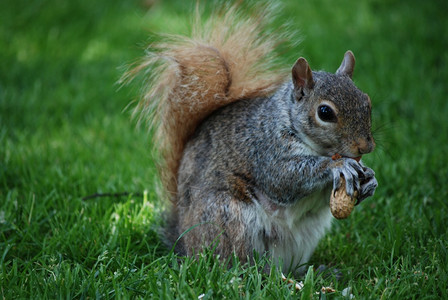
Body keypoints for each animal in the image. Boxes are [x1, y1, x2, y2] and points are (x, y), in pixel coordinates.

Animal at [125, 2, 378, 274]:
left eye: (367, 101)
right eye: (325, 112)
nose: (366, 146)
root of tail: (183, 243)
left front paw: (370, 179)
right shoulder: (264, 148)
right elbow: (284, 178)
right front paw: (338, 165)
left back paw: (313, 272)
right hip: (230, 219)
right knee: (238, 267)